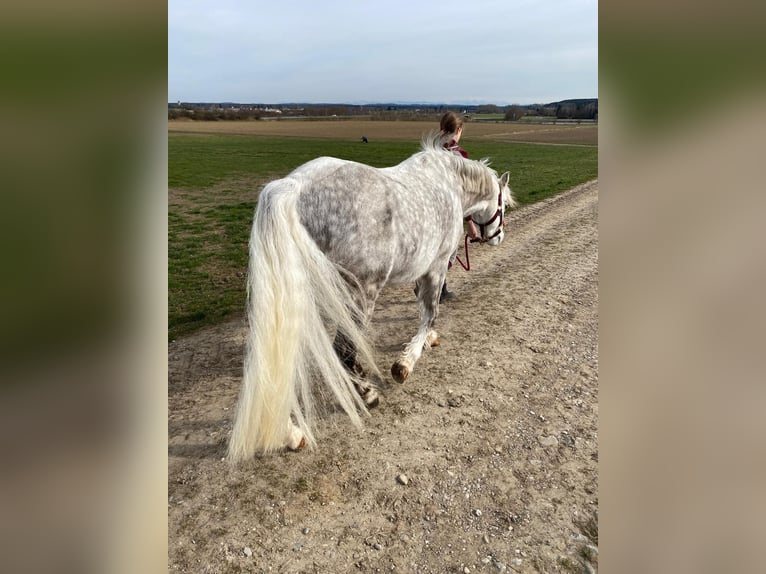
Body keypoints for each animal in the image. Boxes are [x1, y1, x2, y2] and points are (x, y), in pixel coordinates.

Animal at [228, 134, 515, 461]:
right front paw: (405, 362)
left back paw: (292, 432)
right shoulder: (436, 265)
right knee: (340, 351)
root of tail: (296, 187)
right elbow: (430, 312)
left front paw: (425, 342)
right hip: (359, 294)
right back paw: (366, 394)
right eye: (503, 204)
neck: (451, 184)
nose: (498, 237)